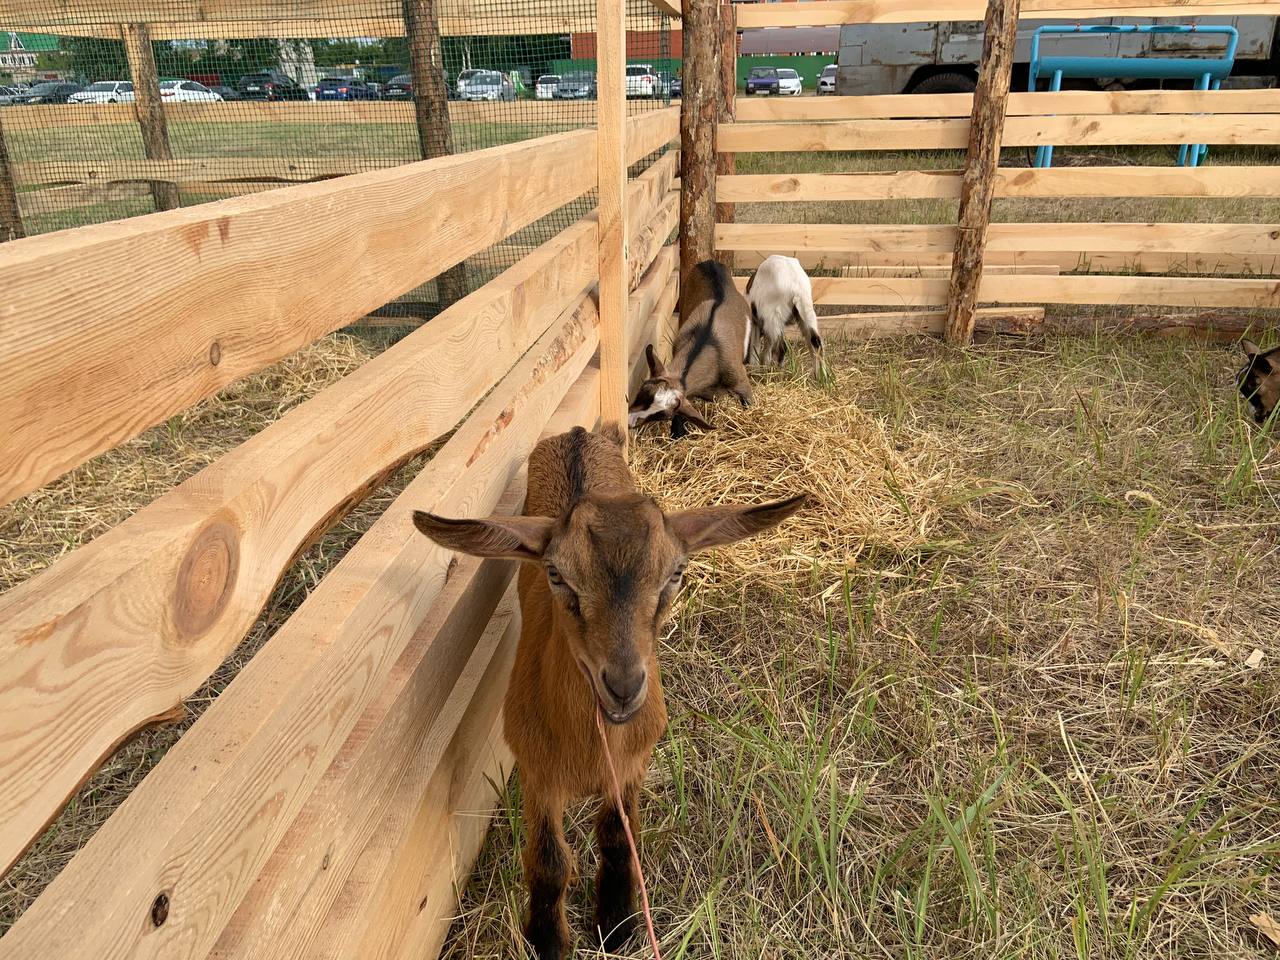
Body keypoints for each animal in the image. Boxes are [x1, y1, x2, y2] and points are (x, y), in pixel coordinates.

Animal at [414, 427, 803, 960]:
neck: (591, 751)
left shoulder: (634, 762)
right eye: (556, 574)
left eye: (676, 573)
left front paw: (616, 924)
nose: (622, 687)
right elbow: (549, 860)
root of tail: (578, 433)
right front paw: (548, 940)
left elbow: (621, 838)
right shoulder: (537, 773)